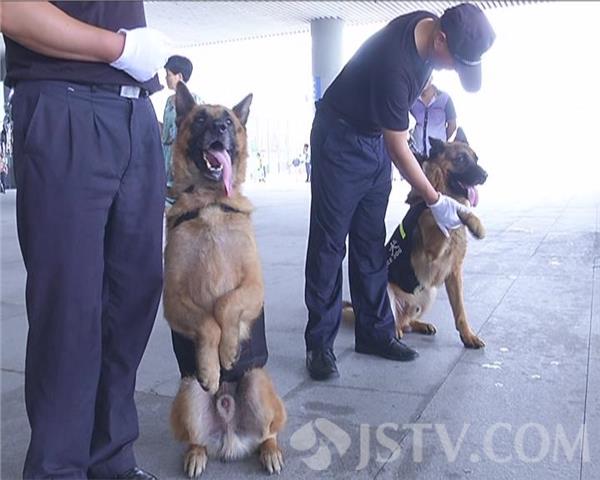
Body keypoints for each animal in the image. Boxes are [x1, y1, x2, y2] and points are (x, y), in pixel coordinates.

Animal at [163, 83, 286, 476]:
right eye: (200, 119)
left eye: (228, 122)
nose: (218, 128)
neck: (211, 203)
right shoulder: (172, 300)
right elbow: (207, 322)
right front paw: (213, 365)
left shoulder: (254, 288)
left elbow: (226, 305)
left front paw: (229, 350)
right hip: (187, 393)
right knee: (196, 438)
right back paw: (196, 454)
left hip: (259, 384)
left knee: (268, 433)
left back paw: (270, 452)